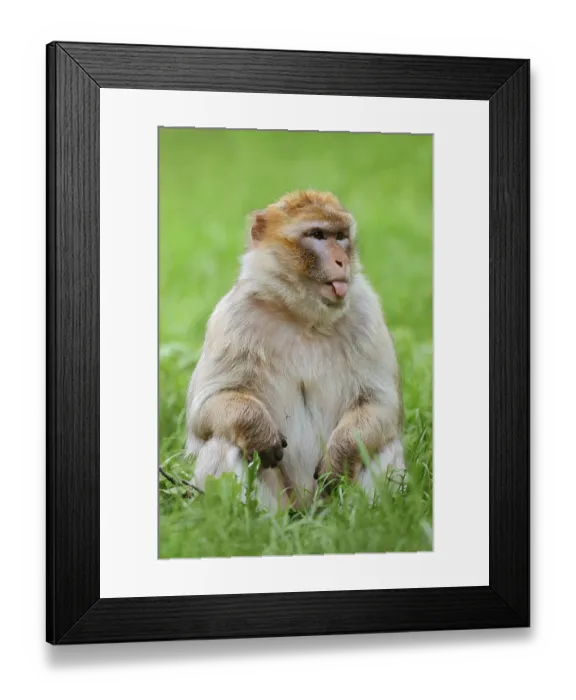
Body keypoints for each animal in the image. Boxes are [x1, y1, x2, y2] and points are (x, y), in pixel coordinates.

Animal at [185, 189, 406, 512]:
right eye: (317, 235)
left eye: (341, 236)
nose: (342, 261)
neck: (302, 318)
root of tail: (305, 509)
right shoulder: (231, 318)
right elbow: (205, 410)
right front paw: (258, 431)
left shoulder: (367, 312)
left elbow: (382, 405)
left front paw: (340, 457)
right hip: (280, 500)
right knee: (223, 440)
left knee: (383, 444)